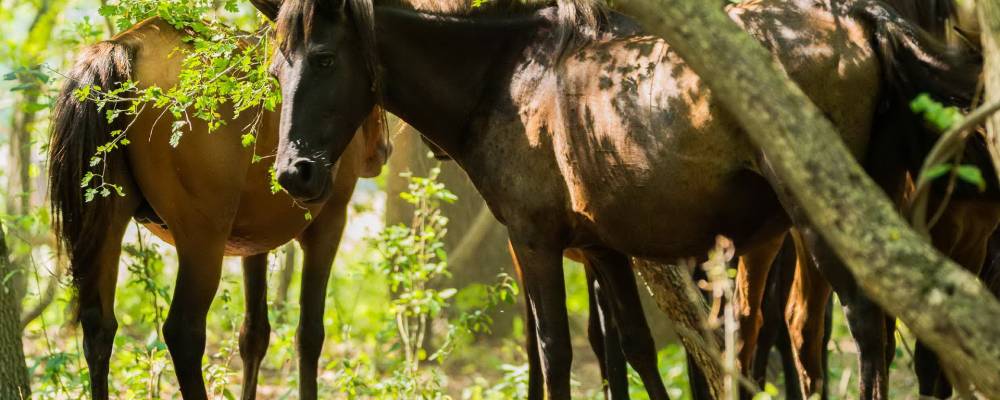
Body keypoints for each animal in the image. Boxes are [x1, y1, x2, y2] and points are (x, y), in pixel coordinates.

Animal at [48, 18, 388, 400]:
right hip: (202, 239)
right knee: (183, 332)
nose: (380, 153)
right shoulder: (329, 222)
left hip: (108, 220)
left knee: (98, 326)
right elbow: (309, 334)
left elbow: (254, 334)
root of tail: (125, 45)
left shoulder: (254, 241)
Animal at [260, 0, 984, 400]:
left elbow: (553, 351)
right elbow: (632, 348)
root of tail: (856, 17)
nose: (296, 173)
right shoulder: (601, 248)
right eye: (275, 68)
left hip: (820, 220)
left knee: (865, 323)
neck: (508, 78)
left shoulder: (533, 240)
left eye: (323, 58)